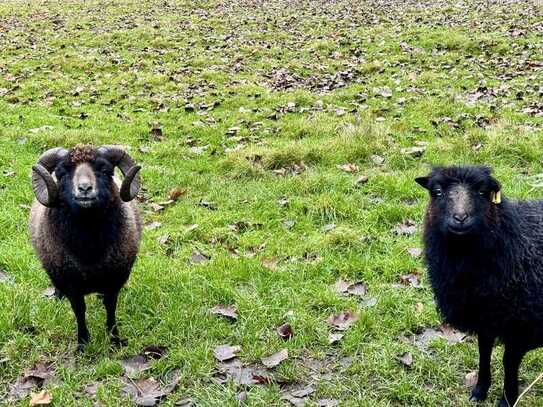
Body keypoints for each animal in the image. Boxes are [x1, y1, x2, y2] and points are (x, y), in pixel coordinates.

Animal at [29, 144, 141, 350]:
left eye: (105, 170)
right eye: (62, 173)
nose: (85, 189)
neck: (89, 250)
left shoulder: (114, 279)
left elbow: (110, 308)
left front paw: (114, 339)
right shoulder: (71, 283)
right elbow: (79, 311)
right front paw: (82, 343)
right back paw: (58, 297)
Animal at [420, 167, 543, 407]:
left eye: (482, 192)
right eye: (437, 191)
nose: (460, 218)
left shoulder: (520, 325)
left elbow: (508, 362)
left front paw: (507, 400)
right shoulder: (484, 319)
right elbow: (483, 352)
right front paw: (480, 390)